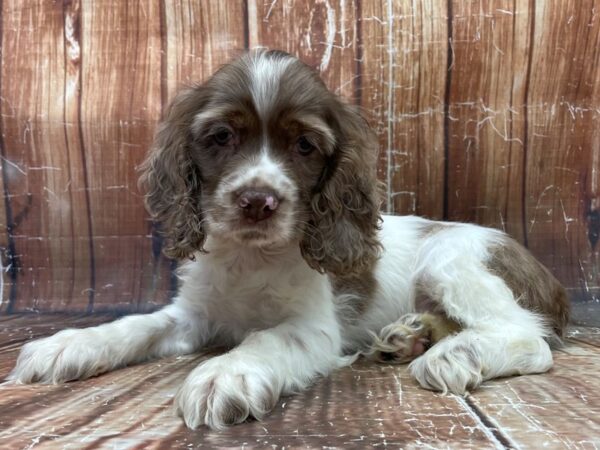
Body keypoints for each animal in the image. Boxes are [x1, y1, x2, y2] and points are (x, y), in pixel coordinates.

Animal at [10, 49, 572, 428]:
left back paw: (453, 354)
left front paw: (225, 373)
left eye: (304, 145)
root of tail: (555, 285)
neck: (250, 257)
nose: (257, 201)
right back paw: (409, 336)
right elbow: (137, 325)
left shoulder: (313, 328)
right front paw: (71, 344)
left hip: (451, 257)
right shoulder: (194, 314)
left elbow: (265, 338)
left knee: (530, 337)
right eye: (221, 137)